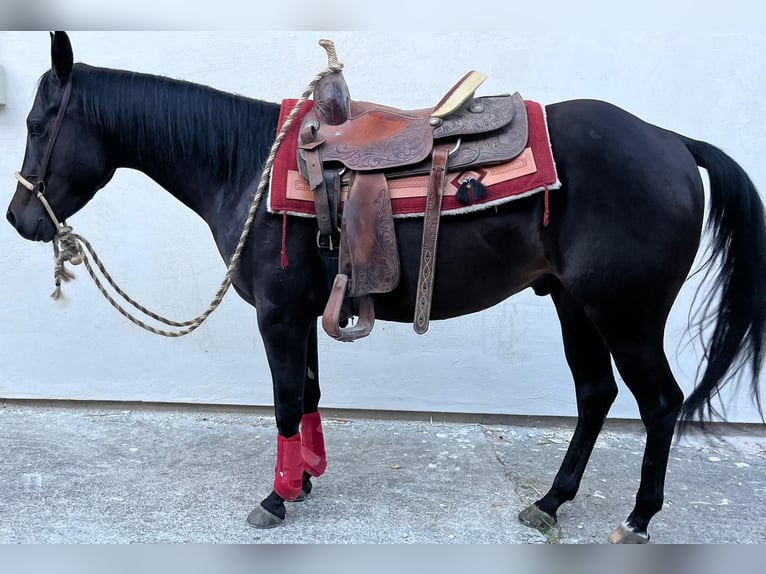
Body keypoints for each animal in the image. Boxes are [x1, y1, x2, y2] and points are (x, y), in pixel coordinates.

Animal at [7, 31, 766, 543]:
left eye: (39, 124)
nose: (19, 219)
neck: (245, 164)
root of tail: (673, 142)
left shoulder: (278, 315)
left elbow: (284, 402)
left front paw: (276, 498)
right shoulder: (304, 314)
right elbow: (309, 395)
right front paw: (305, 479)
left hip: (626, 314)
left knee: (660, 402)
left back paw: (637, 517)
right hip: (575, 305)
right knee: (594, 395)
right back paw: (551, 501)